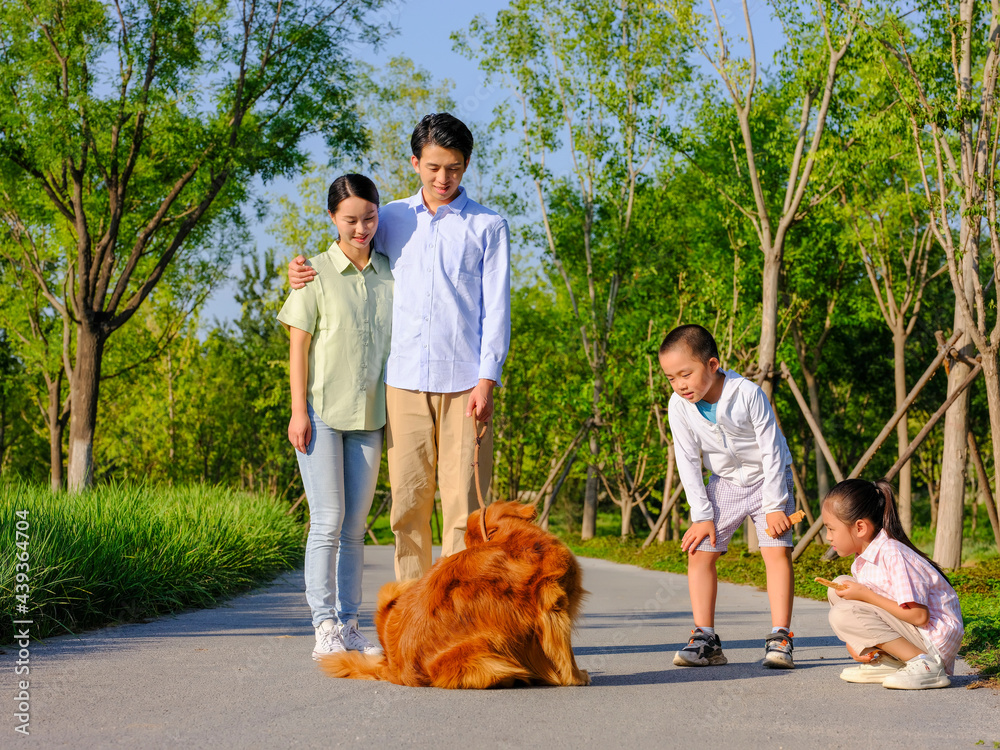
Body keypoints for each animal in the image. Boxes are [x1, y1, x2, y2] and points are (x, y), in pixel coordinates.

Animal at [318, 502, 584, 692]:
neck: (514, 540)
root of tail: (393, 667)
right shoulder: (554, 607)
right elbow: (564, 654)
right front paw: (578, 677)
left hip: (394, 590)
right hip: (488, 650)